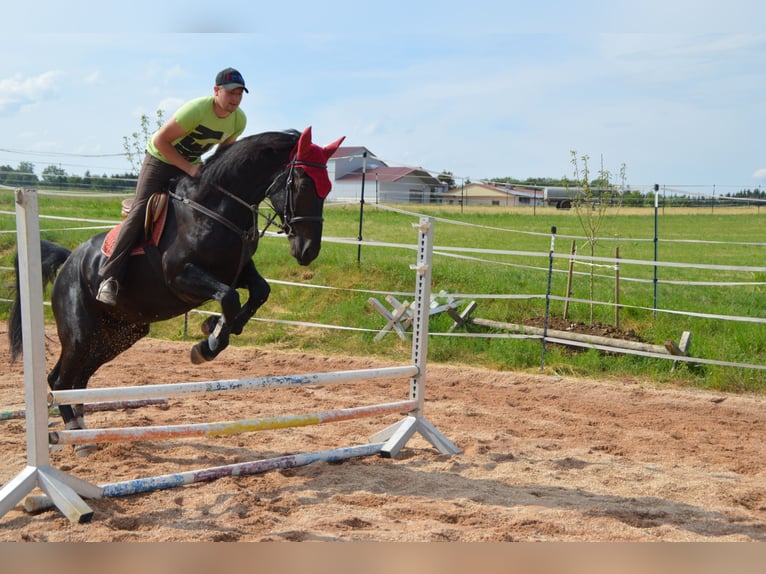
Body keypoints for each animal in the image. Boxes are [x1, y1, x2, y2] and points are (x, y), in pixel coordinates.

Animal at [8, 127, 344, 454]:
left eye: (327, 189)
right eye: (301, 184)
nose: (308, 250)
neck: (216, 209)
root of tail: (68, 261)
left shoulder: (238, 272)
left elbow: (258, 292)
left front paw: (215, 328)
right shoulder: (181, 276)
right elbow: (229, 297)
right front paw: (209, 342)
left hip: (117, 335)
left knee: (78, 379)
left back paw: (81, 429)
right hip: (80, 333)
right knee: (60, 379)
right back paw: (78, 440)